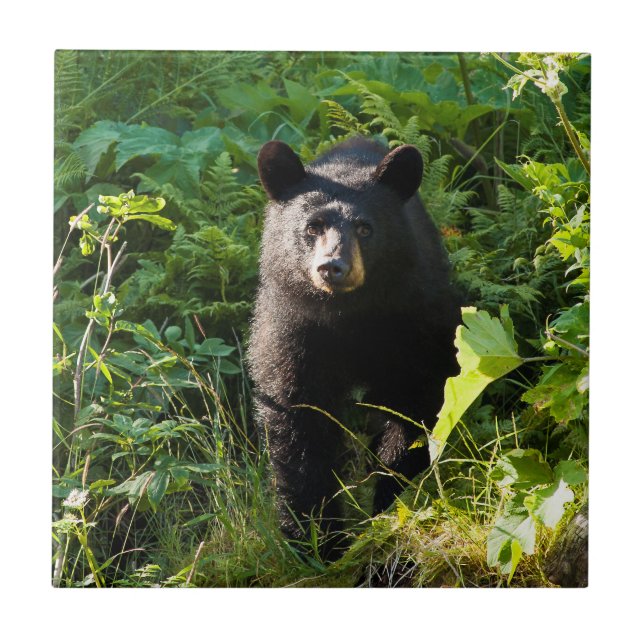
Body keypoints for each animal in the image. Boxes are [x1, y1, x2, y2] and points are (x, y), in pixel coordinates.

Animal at [248, 137, 461, 558]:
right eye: (312, 227)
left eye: (365, 228)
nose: (333, 267)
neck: (348, 316)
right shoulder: (292, 331)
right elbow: (298, 420)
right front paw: (316, 539)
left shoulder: (414, 320)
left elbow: (415, 403)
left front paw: (388, 498)